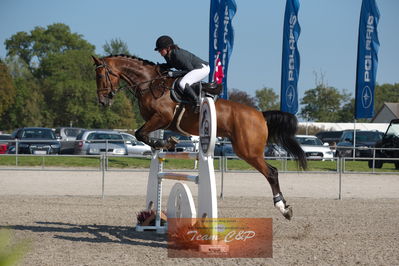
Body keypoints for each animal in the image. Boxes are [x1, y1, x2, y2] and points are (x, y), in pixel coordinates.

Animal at [93, 54, 306, 220]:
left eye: (101, 75)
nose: (103, 101)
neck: (150, 83)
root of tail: (260, 115)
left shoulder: (162, 117)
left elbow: (140, 133)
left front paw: (166, 142)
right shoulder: (157, 121)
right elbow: (143, 135)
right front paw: (164, 143)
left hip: (248, 151)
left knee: (271, 172)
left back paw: (283, 208)